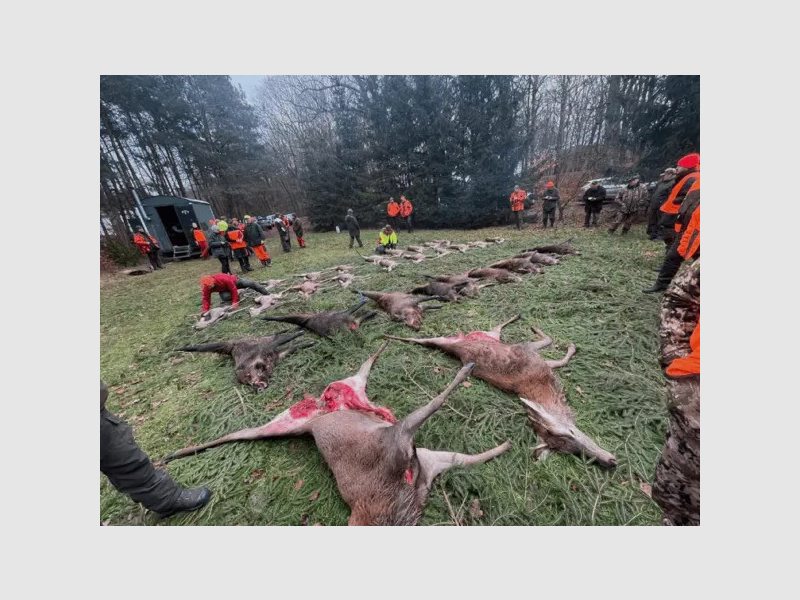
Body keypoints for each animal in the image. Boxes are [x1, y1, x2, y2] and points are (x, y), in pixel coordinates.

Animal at [177, 328, 314, 394]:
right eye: (247, 382)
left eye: (249, 376)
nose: (259, 388)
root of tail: (233, 345)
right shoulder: (277, 354)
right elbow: (293, 347)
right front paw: (308, 342)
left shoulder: (269, 350)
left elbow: (289, 341)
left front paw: (303, 338)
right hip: (263, 341)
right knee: (276, 336)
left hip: (261, 341)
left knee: (276, 336)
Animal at [384, 314, 616, 468]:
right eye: (568, 440)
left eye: (572, 436)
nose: (611, 461)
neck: (544, 385)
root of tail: (460, 341)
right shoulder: (528, 350)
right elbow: (551, 344)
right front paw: (568, 344)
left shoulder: (537, 359)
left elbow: (559, 358)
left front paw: (565, 345)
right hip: (442, 341)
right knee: (422, 339)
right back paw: (390, 336)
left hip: (488, 335)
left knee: (496, 326)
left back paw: (518, 316)